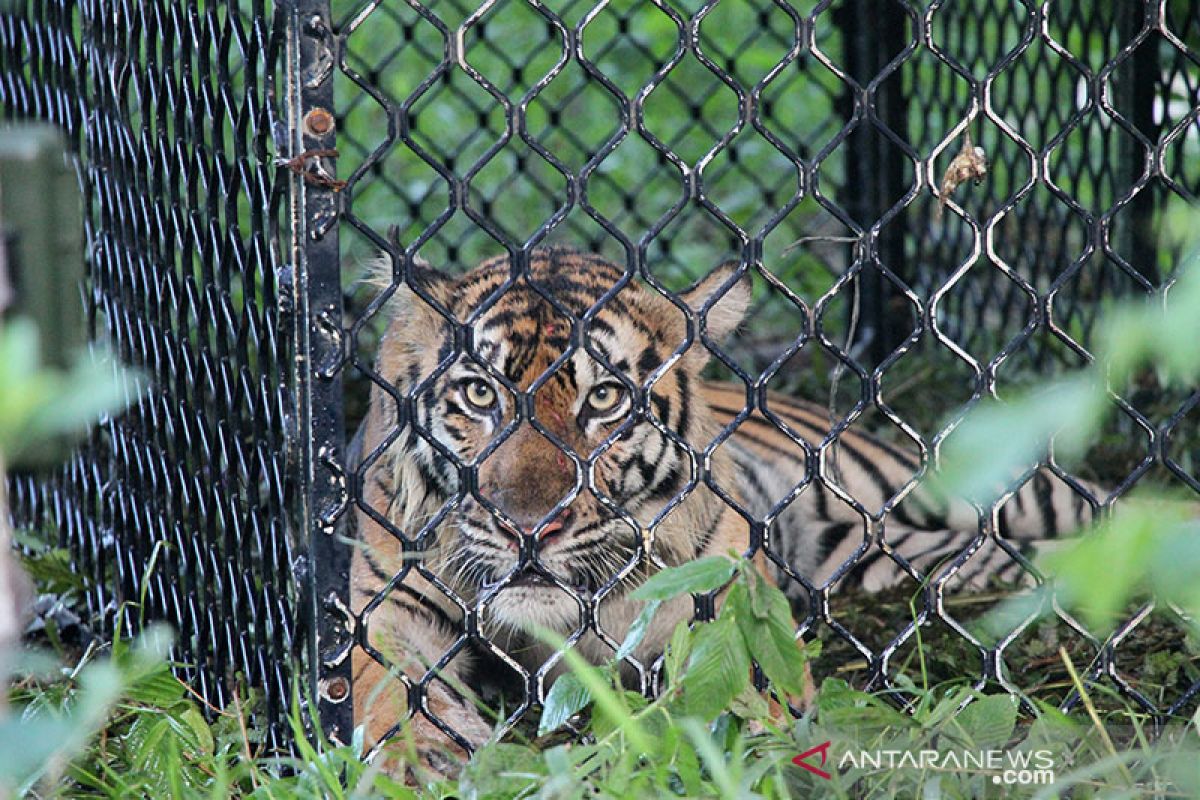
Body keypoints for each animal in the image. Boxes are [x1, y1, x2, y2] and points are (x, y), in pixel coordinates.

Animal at [348, 247, 1099, 777]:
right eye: (479, 394)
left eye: (604, 400)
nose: (530, 530)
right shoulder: (388, 610)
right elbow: (387, 688)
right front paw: (421, 759)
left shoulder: (724, 610)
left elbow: (730, 684)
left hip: (950, 485)